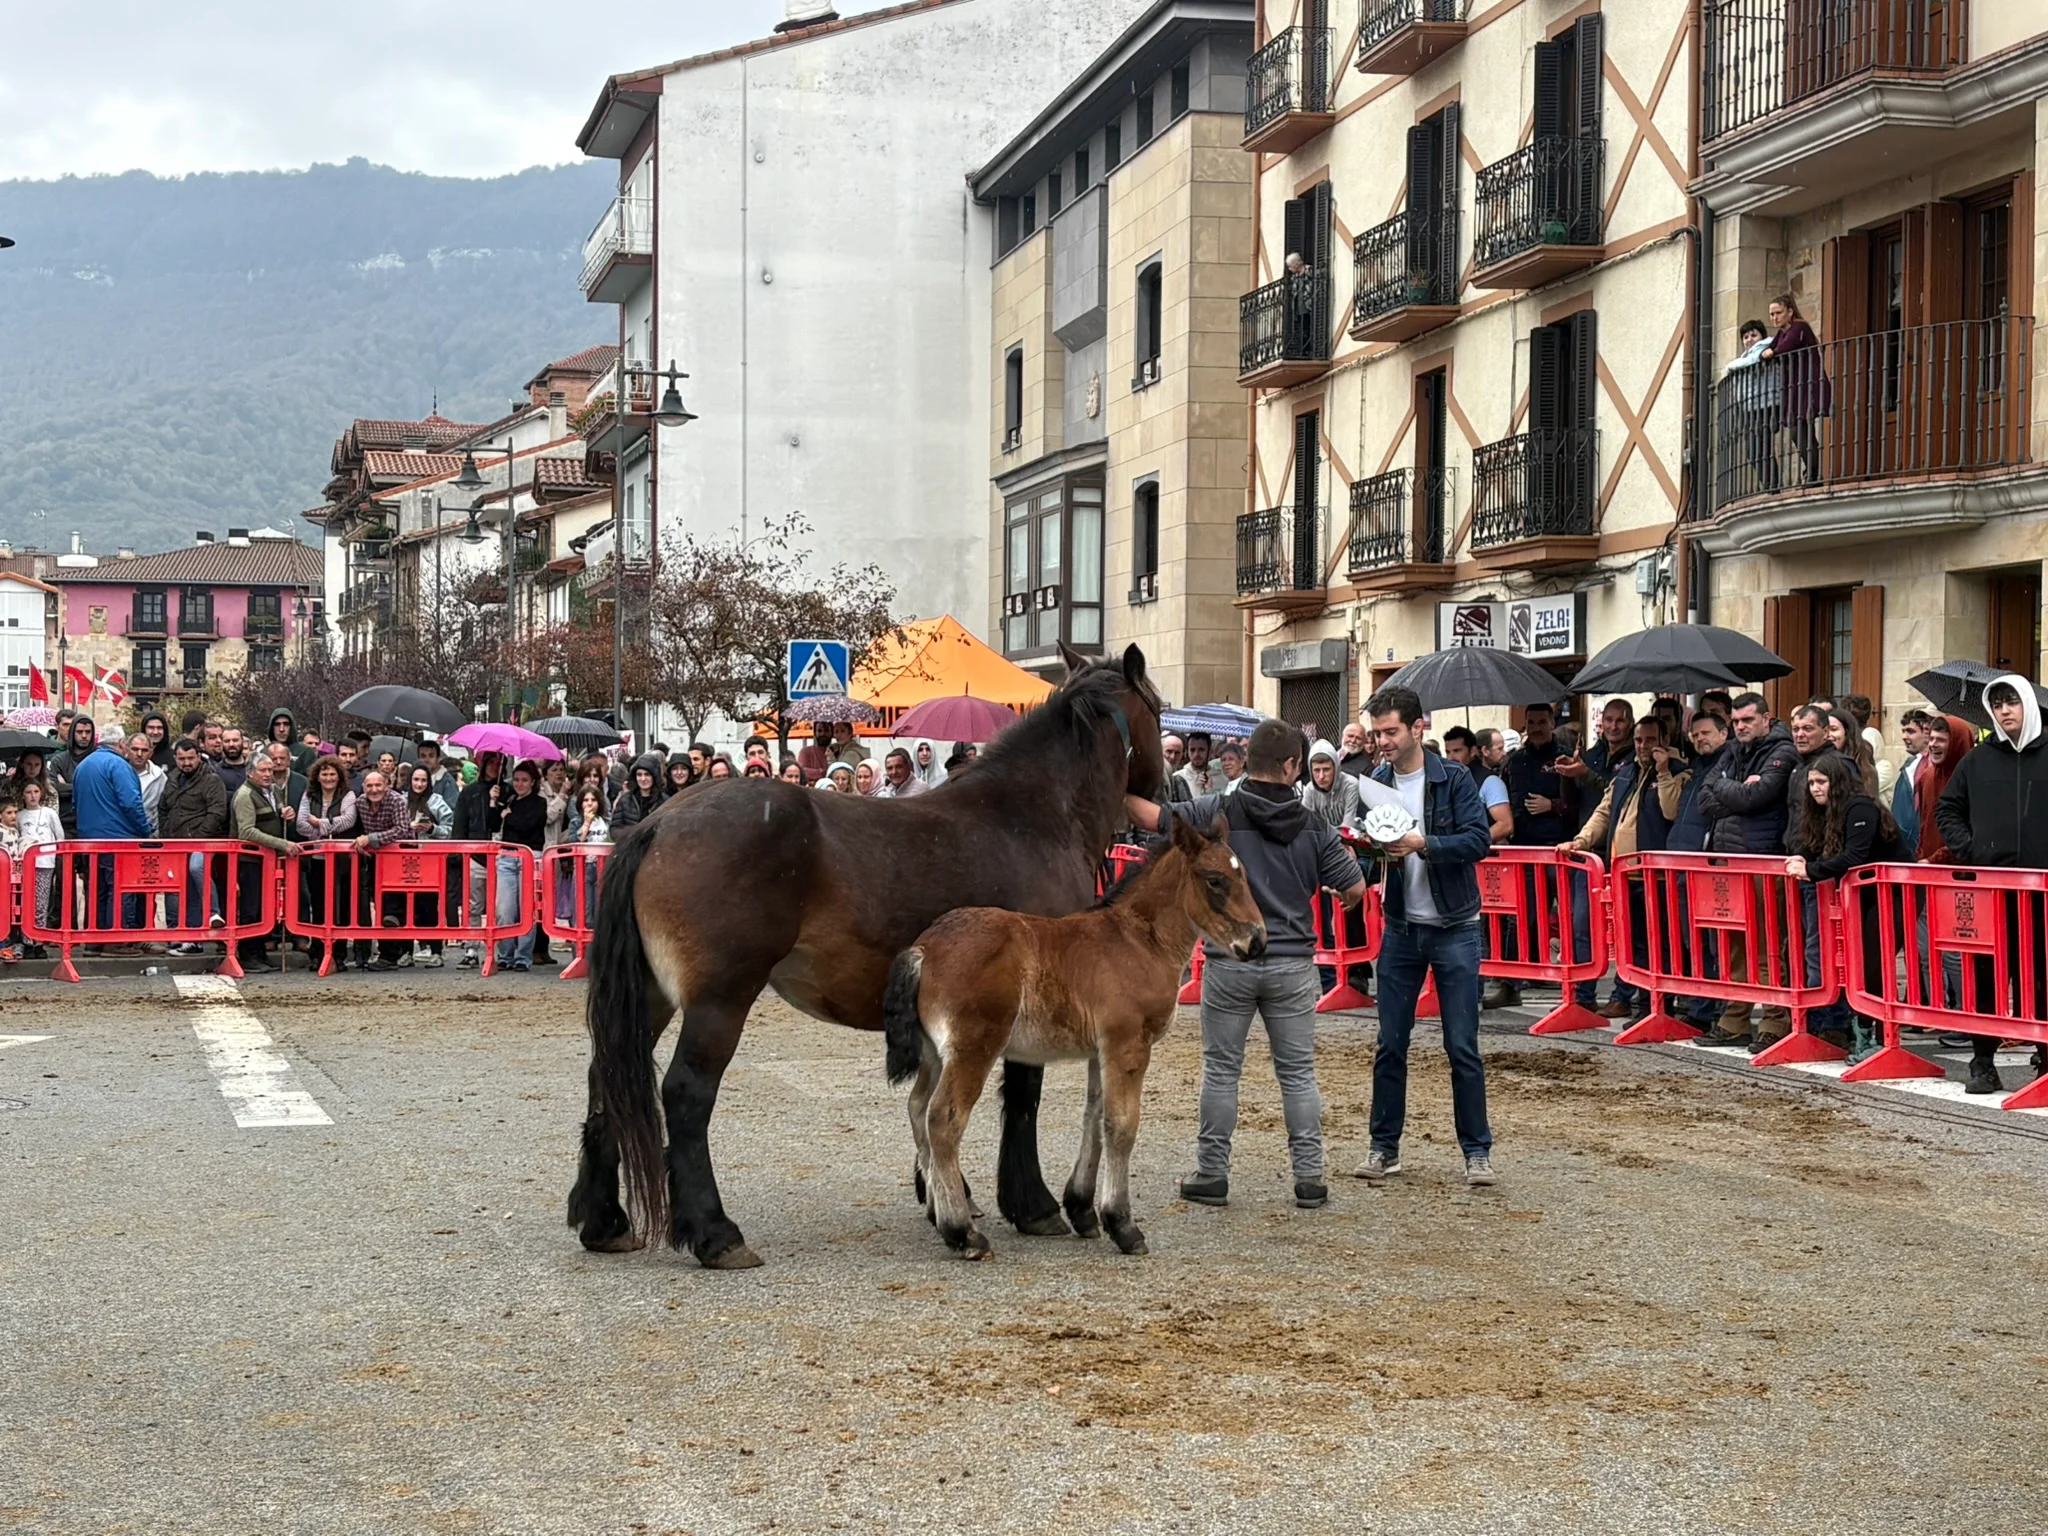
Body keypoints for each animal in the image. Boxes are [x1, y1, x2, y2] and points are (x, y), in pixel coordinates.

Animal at [570, 643, 1165, 1268]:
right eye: (1159, 709)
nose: (1162, 795)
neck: (1032, 817)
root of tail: (659, 823)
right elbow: (1022, 1099)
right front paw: (1033, 1206)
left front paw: (945, 1198)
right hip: (720, 1000)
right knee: (686, 1093)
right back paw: (715, 1233)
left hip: (653, 997)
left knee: (607, 1079)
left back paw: (604, 1221)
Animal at [881, 813, 1264, 1259]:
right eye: (1215, 880)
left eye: (1243, 875)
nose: (1257, 941)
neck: (1138, 940)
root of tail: (925, 948)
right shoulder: (1128, 1045)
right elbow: (1121, 1125)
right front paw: (1123, 1226)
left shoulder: (1102, 1050)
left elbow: (1094, 1119)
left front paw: (1083, 1211)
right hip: (973, 1049)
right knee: (943, 1118)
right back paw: (964, 1233)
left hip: (934, 1054)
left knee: (917, 1108)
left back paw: (941, 1218)